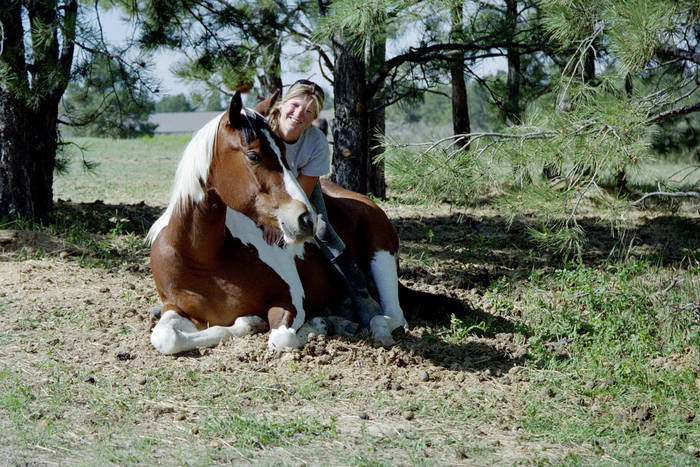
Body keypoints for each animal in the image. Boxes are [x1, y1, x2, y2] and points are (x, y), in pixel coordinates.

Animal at [146, 91, 408, 354]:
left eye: (283, 151)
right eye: (253, 155)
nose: (306, 219)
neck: (202, 257)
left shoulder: (290, 299)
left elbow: (282, 337)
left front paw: (315, 325)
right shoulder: (174, 307)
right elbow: (165, 337)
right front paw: (250, 322)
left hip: (381, 255)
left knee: (393, 314)